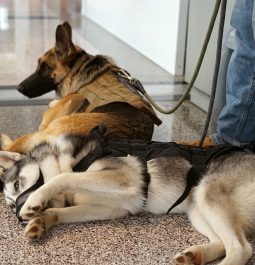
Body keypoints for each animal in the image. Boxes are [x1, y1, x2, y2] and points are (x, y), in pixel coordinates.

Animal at [0, 22, 161, 154]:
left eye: (46, 67)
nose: (18, 88)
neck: (78, 68)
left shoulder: (48, 120)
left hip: (48, 129)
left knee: (10, 148)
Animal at [0, 124, 255, 264]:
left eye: (17, 184)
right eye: (10, 206)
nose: (19, 216)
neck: (73, 158)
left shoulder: (123, 177)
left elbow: (63, 178)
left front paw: (35, 202)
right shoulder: (112, 208)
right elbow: (59, 211)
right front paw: (40, 222)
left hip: (207, 193)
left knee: (241, 249)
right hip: (197, 208)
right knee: (222, 242)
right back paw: (196, 256)